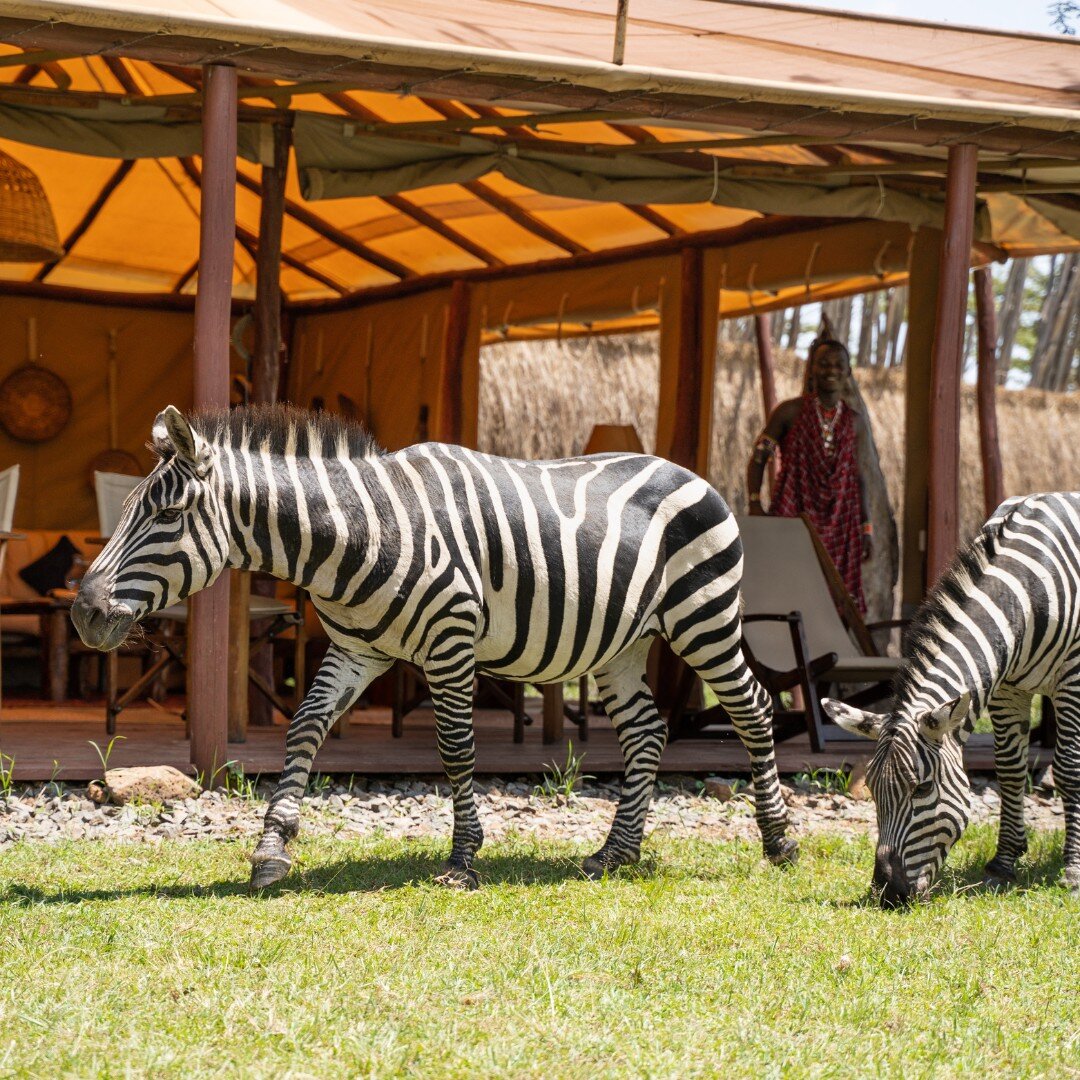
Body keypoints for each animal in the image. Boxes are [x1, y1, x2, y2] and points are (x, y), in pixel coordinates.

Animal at [69, 403, 794, 885]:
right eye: (126, 509)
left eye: (167, 516)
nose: (82, 614)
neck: (354, 534)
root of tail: (691, 472)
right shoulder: (356, 649)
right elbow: (303, 729)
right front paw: (273, 848)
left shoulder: (451, 640)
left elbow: (455, 748)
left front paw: (464, 859)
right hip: (622, 644)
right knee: (646, 730)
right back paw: (616, 854)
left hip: (703, 618)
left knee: (753, 711)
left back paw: (779, 841)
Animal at [825, 492, 1080, 902]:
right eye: (875, 792)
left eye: (923, 788)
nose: (888, 892)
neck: (1026, 591)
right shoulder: (1006, 686)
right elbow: (1009, 769)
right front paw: (1003, 864)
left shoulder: (1073, 676)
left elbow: (1070, 770)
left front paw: (1072, 871)